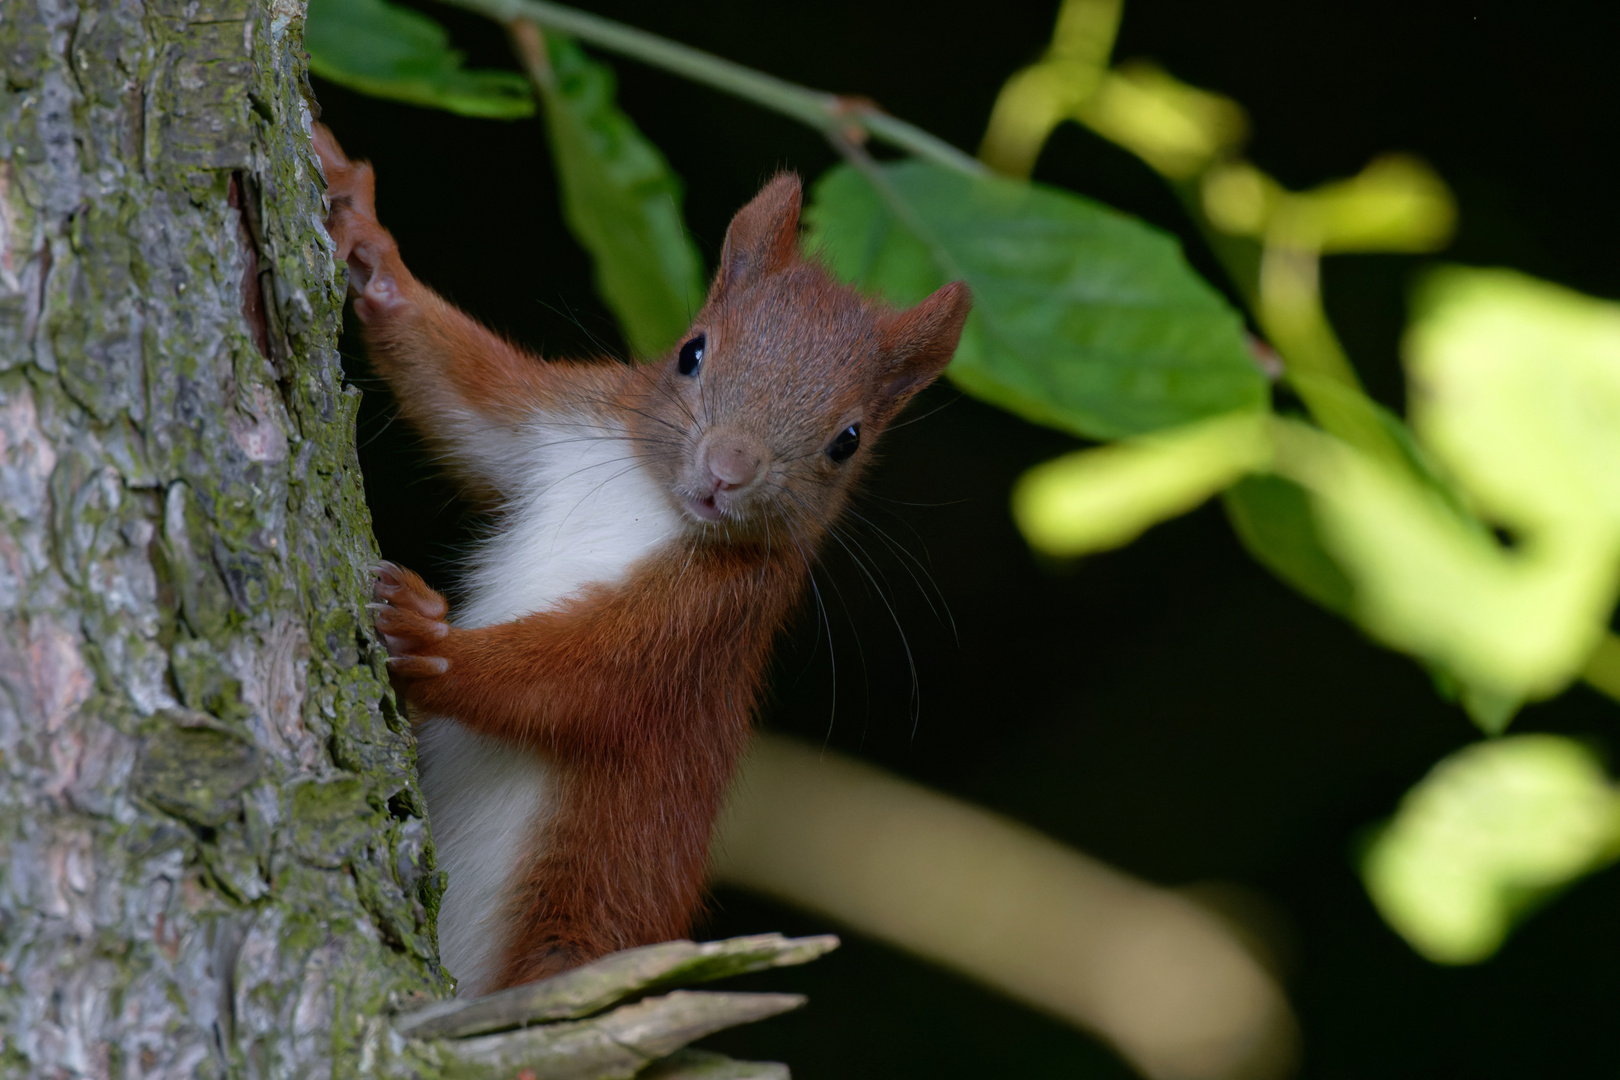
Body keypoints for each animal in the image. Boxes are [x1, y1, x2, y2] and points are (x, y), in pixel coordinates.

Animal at [314, 122, 965, 990]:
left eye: (847, 441)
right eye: (691, 352)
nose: (727, 469)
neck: (650, 497)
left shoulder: (709, 618)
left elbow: (581, 678)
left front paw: (430, 643)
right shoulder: (554, 423)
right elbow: (464, 397)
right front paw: (365, 235)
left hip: (575, 935)